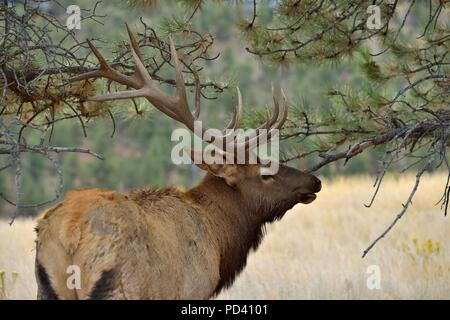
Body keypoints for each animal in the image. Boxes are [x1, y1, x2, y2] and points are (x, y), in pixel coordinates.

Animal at [35, 25, 322, 300]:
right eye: (266, 173)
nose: (315, 181)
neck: (219, 240)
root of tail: (71, 232)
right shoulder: (194, 287)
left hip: (46, 287)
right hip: (122, 286)